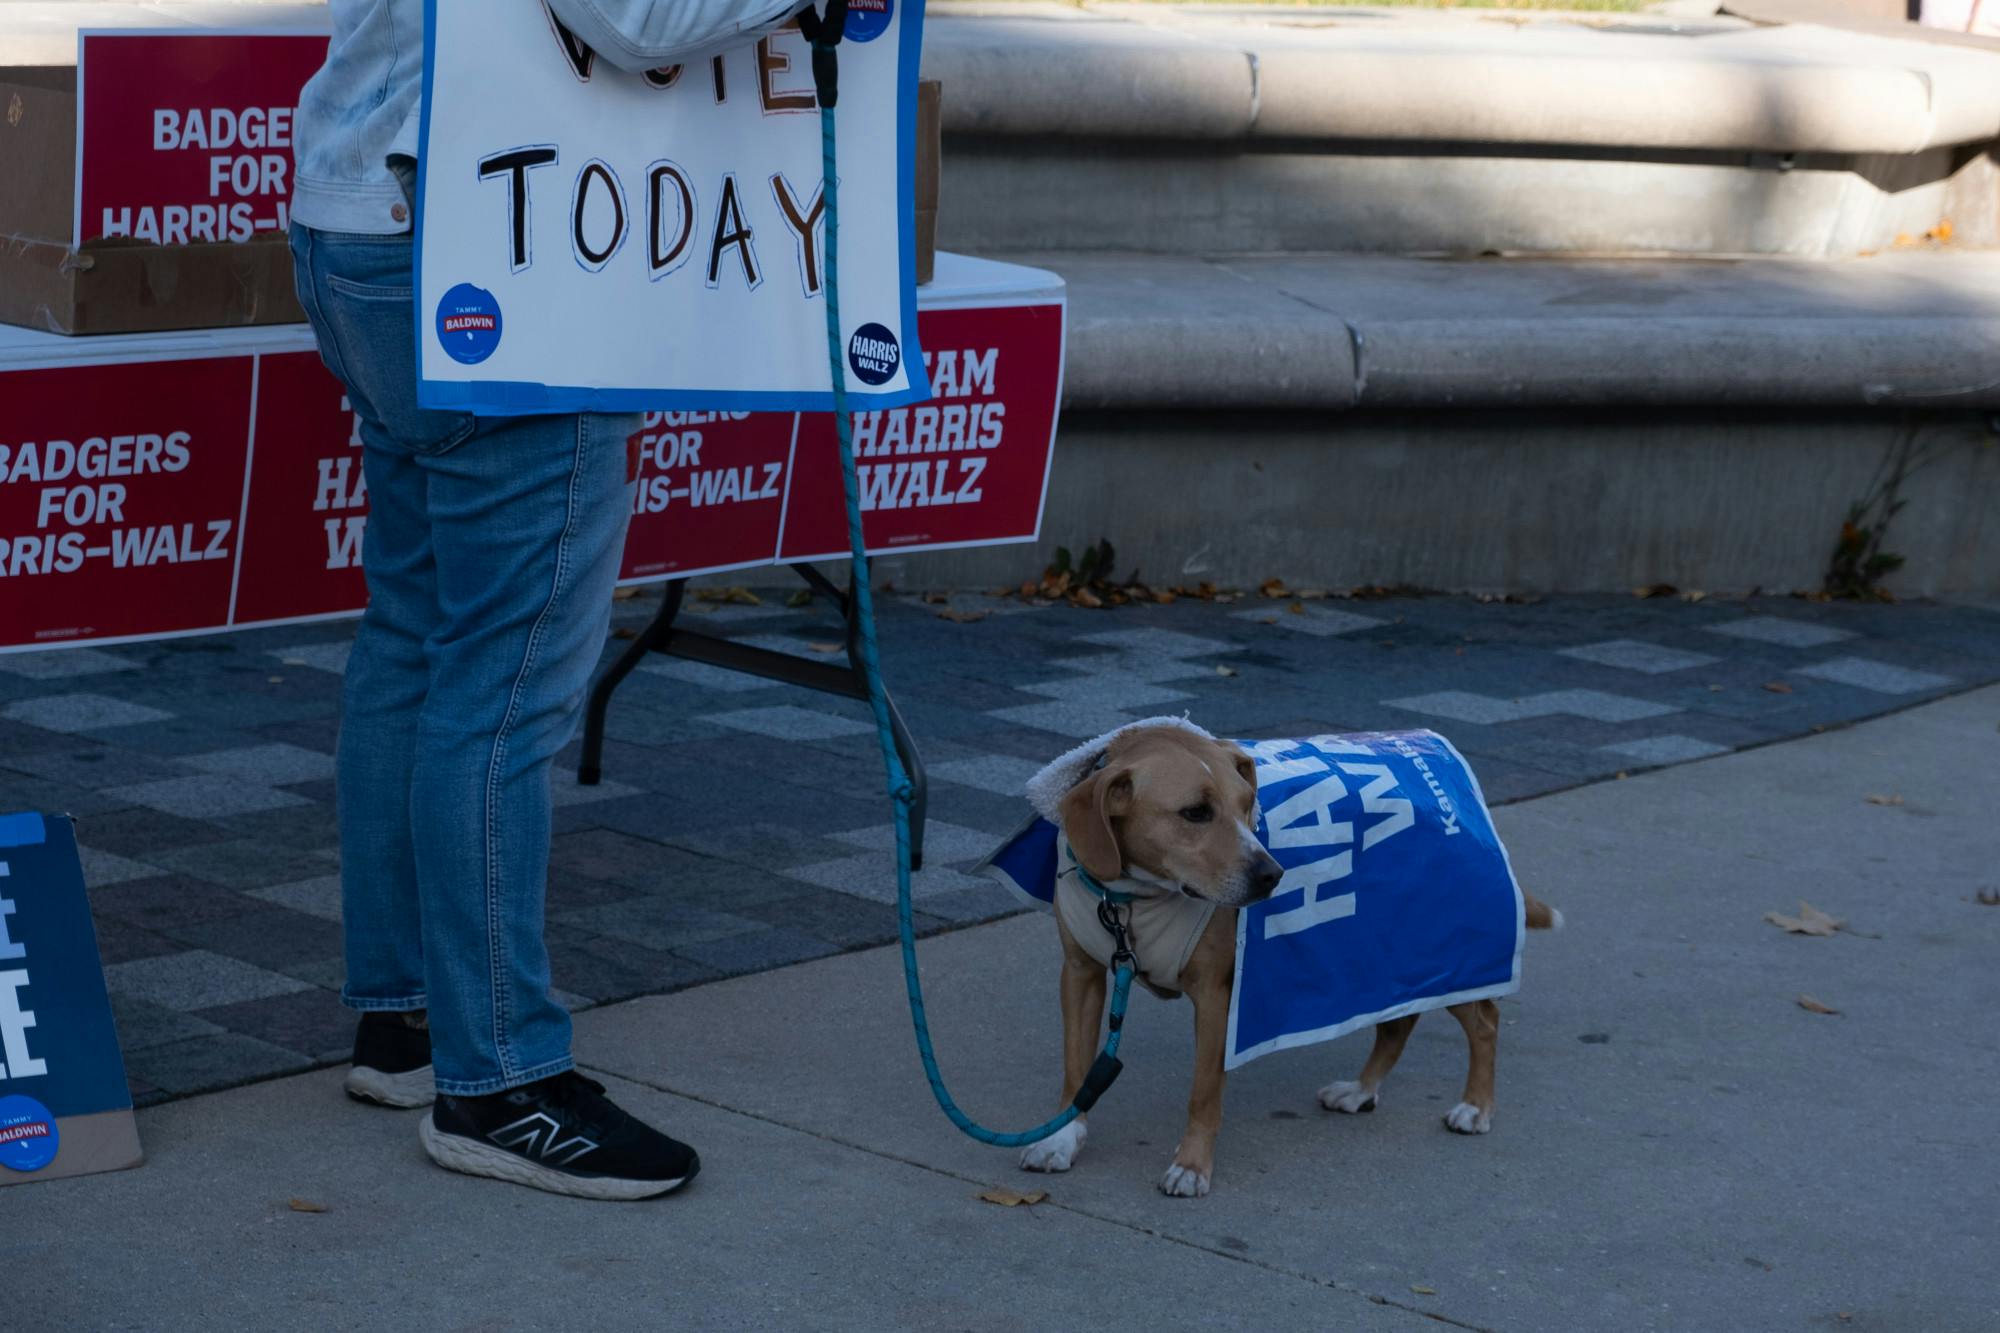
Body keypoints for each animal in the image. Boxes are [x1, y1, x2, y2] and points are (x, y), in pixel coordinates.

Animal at [1024, 720, 1568, 1200]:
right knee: (1399, 1021)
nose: (1273, 874)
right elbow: (1077, 1070)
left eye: (1248, 805)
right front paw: (1060, 1139)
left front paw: (1191, 1166)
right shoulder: (1082, 976)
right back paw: (1361, 1090)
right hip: (1384, 954)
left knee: (1485, 1021)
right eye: (1195, 812)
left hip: (1444, 950)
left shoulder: (1218, 999)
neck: (1134, 899)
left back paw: (1475, 1107)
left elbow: (1204, 1092)